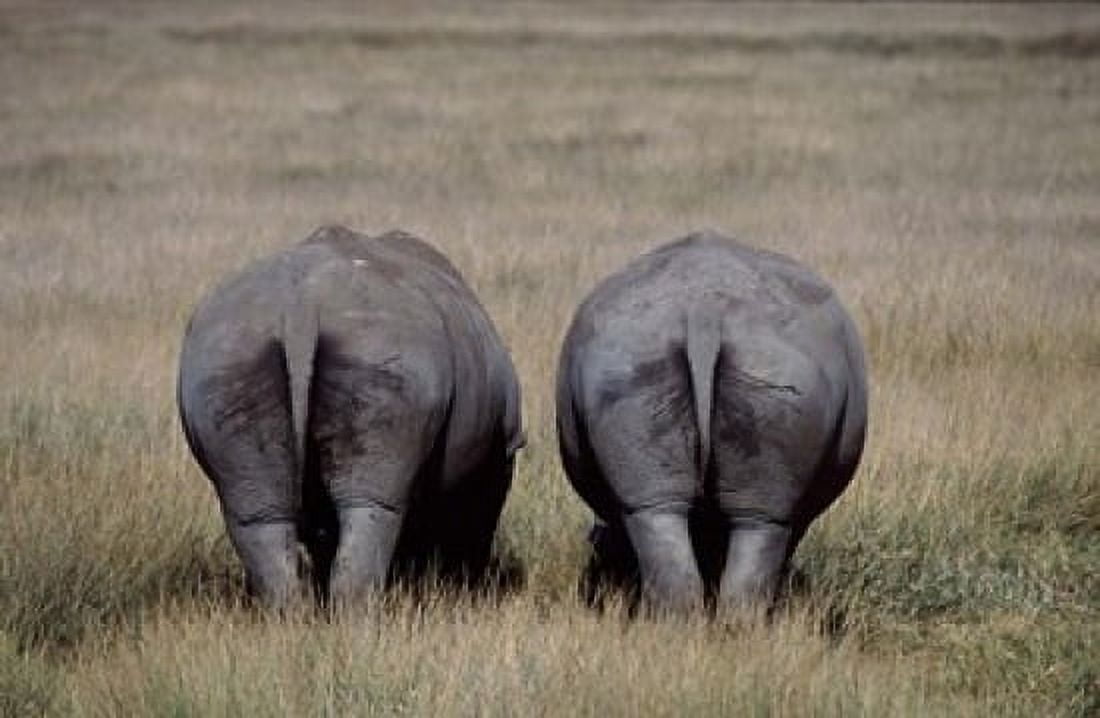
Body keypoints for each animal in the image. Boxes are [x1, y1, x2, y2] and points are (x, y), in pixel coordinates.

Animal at [178, 225, 523, 608]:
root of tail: (300, 308)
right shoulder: (504, 449)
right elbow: (476, 520)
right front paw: (465, 589)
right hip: (383, 349)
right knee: (373, 506)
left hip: (226, 358)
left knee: (257, 515)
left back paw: (294, 615)